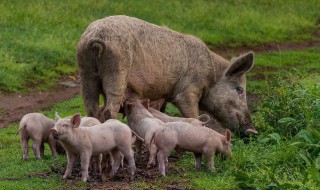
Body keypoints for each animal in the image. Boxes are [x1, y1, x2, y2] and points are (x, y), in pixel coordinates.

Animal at [77, 15, 258, 136]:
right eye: (240, 89)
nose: (253, 130)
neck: (211, 74)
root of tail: (95, 39)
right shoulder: (188, 89)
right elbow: (192, 113)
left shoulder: (164, 95)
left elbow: (162, 112)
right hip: (116, 70)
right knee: (109, 109)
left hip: (86, 73)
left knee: (91, 109)